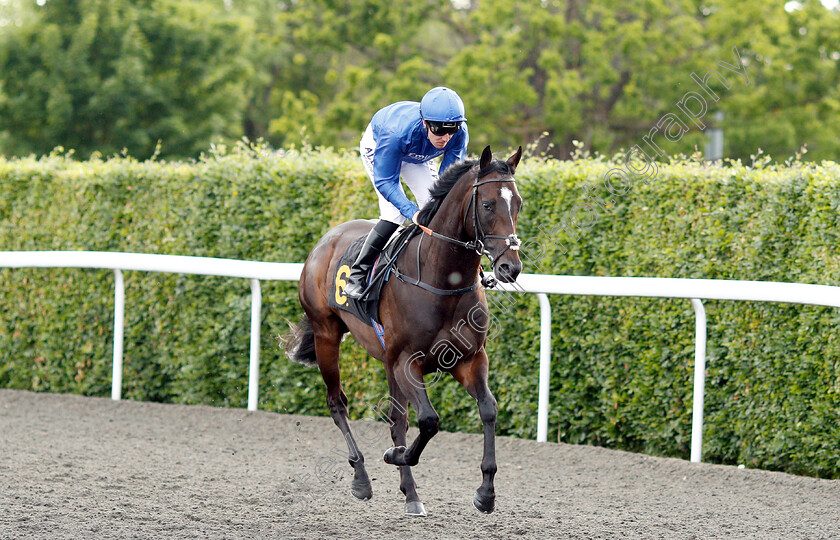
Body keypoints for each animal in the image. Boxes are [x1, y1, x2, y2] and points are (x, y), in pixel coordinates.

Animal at [288, 146, 524, 516]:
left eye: (518, 204)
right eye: (487, 205)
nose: (510, 267)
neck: (442, 279)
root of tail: (325, 240)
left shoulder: (469, 359)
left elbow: (488, 409)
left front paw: (486, 492)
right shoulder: (406, 361)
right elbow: (428, 420)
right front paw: (396, 456)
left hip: (384, 359)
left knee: (396, 419)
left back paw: (410, 493)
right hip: (326, 333)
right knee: (337, 403)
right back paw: (362, 479)